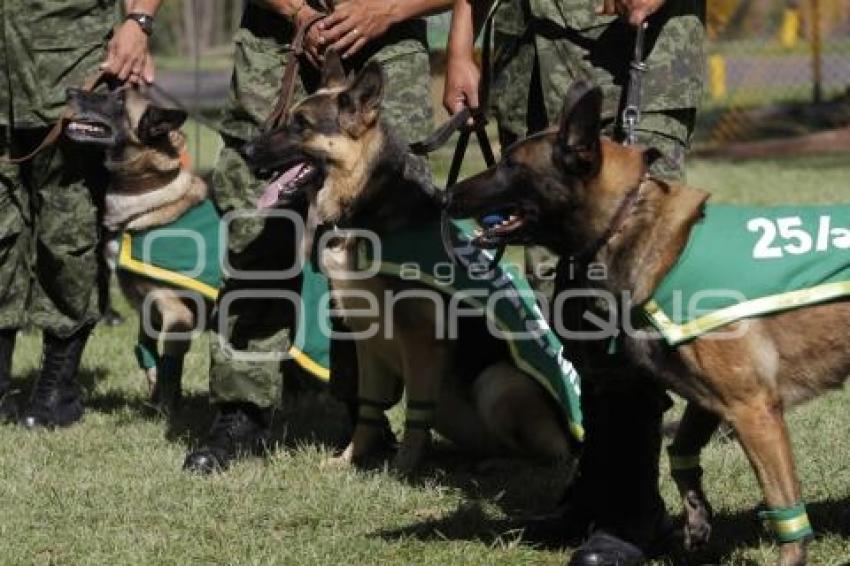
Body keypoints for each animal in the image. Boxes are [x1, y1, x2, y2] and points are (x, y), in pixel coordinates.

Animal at [242, 53, 580, 480]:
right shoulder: (366, 340)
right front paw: (351, 460)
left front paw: (401, 470)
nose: (245, 149)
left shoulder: (421, 340)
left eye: (301, 124)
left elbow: (416, 417)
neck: (363, 200)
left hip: (498, 382)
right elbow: (368, 411)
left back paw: (502, 465)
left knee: (552, 458)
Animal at [444, 81, 848, 566]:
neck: (630, 221)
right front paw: (696, 516)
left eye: (511, 165)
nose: (446, 197)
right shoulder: (712, 400)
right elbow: (679, 450)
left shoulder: (754, 409)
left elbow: (785, 511)